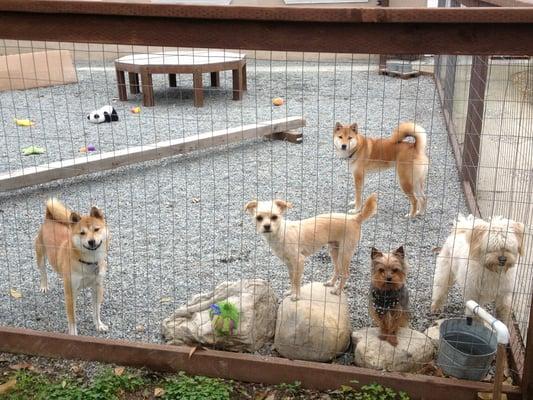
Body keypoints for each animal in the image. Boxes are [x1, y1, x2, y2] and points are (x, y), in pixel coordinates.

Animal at [34, 198, 110, 336]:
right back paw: (44, 286)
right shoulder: (70, 293)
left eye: (96, 229)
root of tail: (49, 218)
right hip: (40, 256)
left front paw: (99, 325)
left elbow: (96, 311)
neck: (88, 262)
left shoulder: (97, 287)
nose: (91, 241)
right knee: (43, 272)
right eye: (82, 233)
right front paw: (73, 334)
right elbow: (72, 317)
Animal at [246, 194, 378, 300]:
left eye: (274, 217)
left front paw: (296, 296)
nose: (267, 226)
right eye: (259, 218)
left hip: (345, 253)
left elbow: (296, 280)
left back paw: (337, 290)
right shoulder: (289, 264)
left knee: (345, 273)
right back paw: (331, 283)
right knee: (337, 269)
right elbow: (292, 279)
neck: (281, 233)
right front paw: (291, 292)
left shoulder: (299, 261)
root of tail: (354, 218)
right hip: (334, 250)